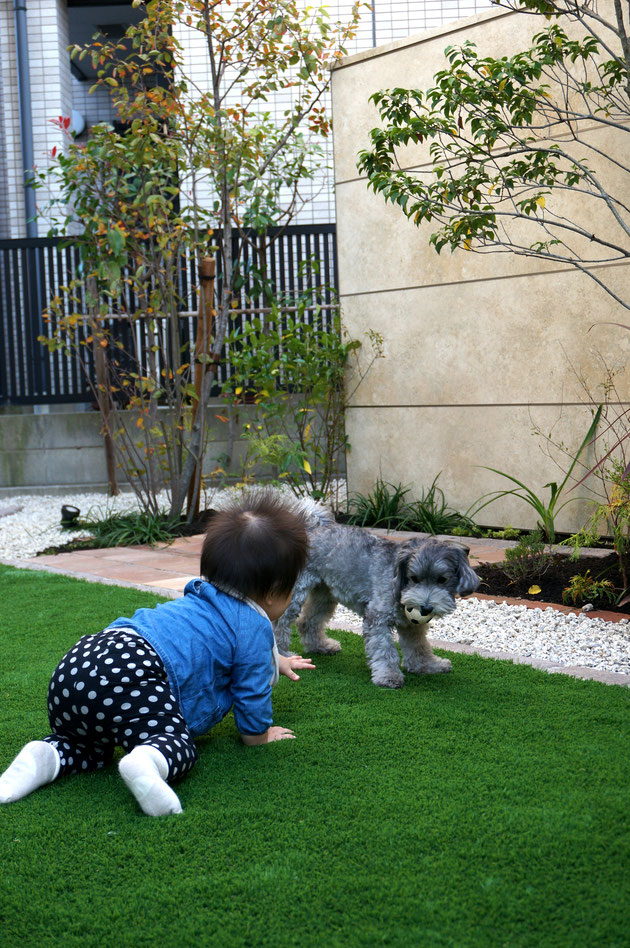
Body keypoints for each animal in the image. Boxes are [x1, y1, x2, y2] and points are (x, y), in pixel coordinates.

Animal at [276, 504, 478, 688]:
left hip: (324, 594)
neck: (398, 582)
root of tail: (312, 529)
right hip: (294, 594)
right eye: (414, 578)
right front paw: (388, 676)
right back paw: (283, 656)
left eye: (442, 580)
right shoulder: (378, 618)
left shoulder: (411, 625)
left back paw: (321, 646)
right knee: (279, 624)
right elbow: (385, 650)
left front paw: (428, 665)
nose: (425, 608)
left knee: (307, 621)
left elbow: (419, 646)